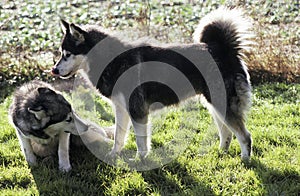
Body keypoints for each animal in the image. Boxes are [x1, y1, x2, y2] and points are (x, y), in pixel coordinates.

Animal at [51, 7, 253, 161]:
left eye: (67, 54)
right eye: (60, 52)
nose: (53, 70)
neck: (110, 61)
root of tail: (222, 48)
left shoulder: (137, 110)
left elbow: (141, 141)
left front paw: (140, 160)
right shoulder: (121, 109)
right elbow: (118, 136)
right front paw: (114, 155)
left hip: (221, 103)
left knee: (245, 136)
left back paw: (245, 159)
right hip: (214, 105)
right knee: (227, 133)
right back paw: (221, 152)